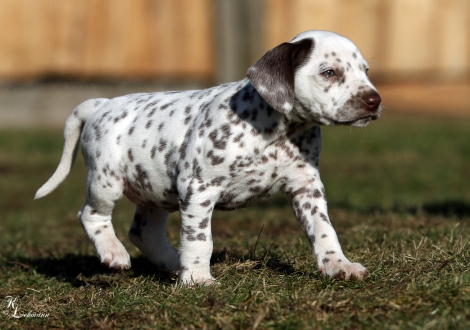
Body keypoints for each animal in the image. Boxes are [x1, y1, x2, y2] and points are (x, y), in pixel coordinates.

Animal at [35, 29, 382, 284]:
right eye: (329, 72)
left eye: (366, 71)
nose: (374, 100)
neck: (278, 132)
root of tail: (102, 103)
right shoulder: (199, 189)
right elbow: (199, 238)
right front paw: (198, 280)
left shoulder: (306, 187)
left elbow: (324, 230)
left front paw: (339, 265)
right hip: (106, 181)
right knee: (91, 215)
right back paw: (115, 254)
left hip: (156, 189)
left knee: (143, 231)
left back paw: (174, 264)